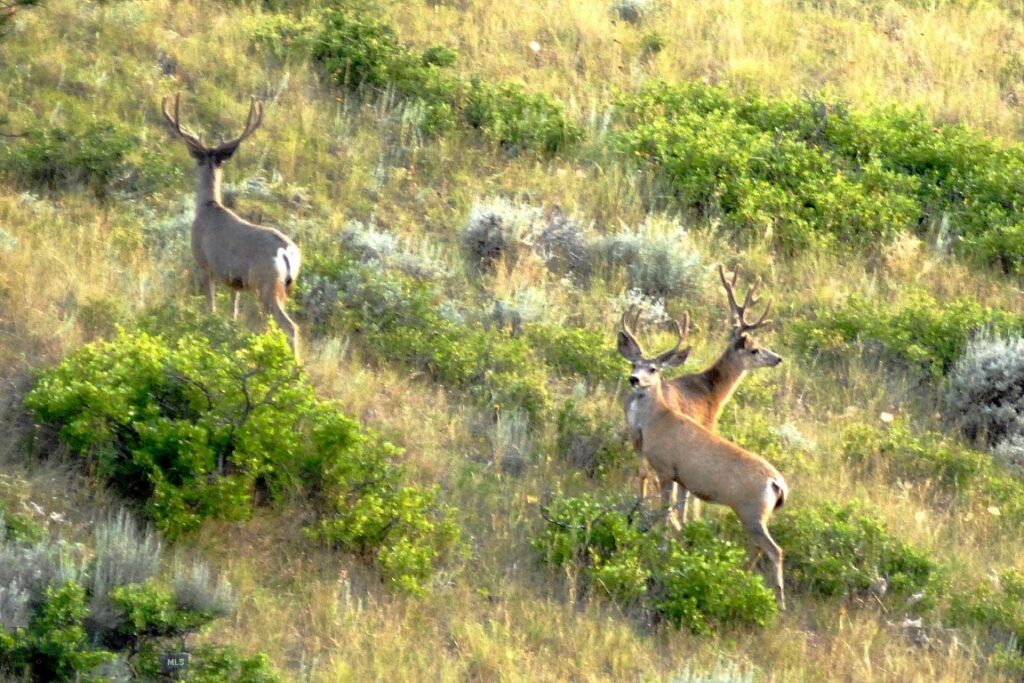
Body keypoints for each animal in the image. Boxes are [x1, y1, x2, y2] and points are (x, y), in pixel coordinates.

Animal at [157, 94, 299, 362]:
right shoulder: (236, 282)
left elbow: (211, 306)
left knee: (290, 327)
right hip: (282, 286)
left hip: (266, 284)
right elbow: (233, 312)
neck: (208, 206)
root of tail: (286, 252)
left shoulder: (206, 264)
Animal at [614, 315, 790, 610]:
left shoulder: (665, 469)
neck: (659, 419)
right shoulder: (683, 478)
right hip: (754, 515)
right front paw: (679, 540)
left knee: (775, 550)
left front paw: (662, 546)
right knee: (759, 546)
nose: (634, 379)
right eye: (633, 364)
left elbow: (665, 509)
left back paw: (778, 602)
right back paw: (739, 576)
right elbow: (678, 510)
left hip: (751, 511)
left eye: (652, 368)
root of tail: (777, 483)